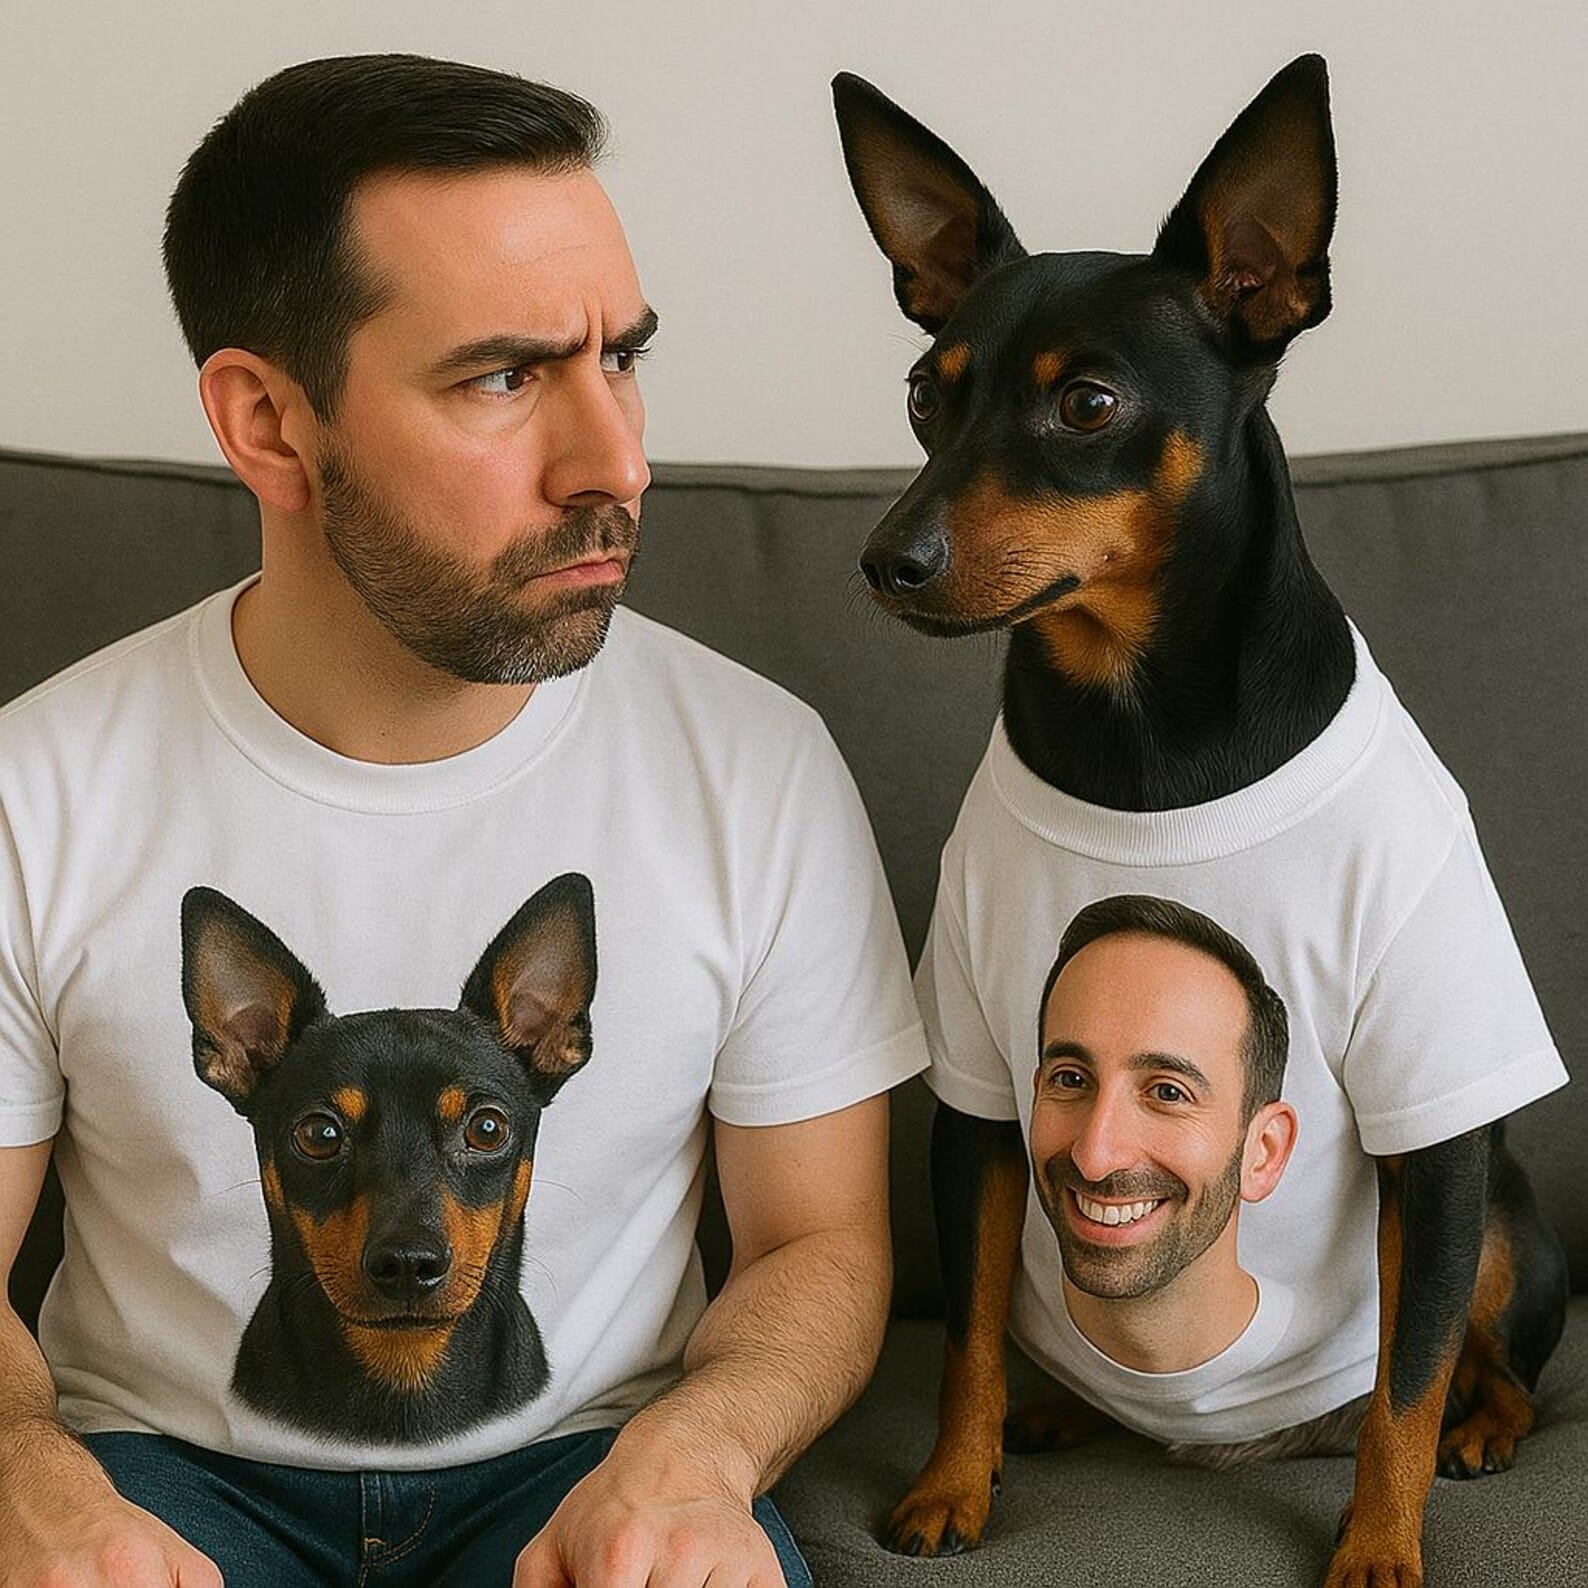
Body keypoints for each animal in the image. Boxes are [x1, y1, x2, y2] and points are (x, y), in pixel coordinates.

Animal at [831, 55, 1568, 1586]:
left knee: (1478, 1356)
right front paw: (953, 1482)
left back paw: (1484, 1425)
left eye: (1087, 405)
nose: (885, 558)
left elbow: (1404, 1378)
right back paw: (1058, 1414)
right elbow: (967, 1334)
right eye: (926, 397)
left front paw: (1379, 1547)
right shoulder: (978, 1111)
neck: (1148, 735)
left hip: (1499, 1213)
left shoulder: (1434, 1141)